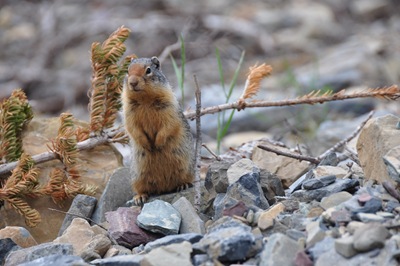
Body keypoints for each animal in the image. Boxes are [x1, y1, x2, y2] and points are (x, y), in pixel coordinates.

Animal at [123, 56, 195, 206]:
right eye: (127, 71)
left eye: (148, 70)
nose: (132, 82)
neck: (144, 99)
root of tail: (163, 189)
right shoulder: (128, 112)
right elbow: (133, 128)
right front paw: (147, 144)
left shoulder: (169, 108)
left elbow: (168, 126)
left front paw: (158, 143)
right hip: (137, 176)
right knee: (141, 188)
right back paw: (139, 197)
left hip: (186, 167)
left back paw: (183, 185)